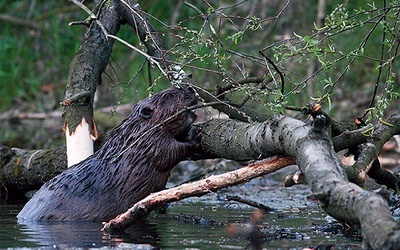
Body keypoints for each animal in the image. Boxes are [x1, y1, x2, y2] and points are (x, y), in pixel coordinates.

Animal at [17, 85, 198, 222]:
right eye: (170, 94)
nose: (190, 88)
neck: (134, 133)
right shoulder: (149, 143)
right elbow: (169, 153)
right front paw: (194, 137)